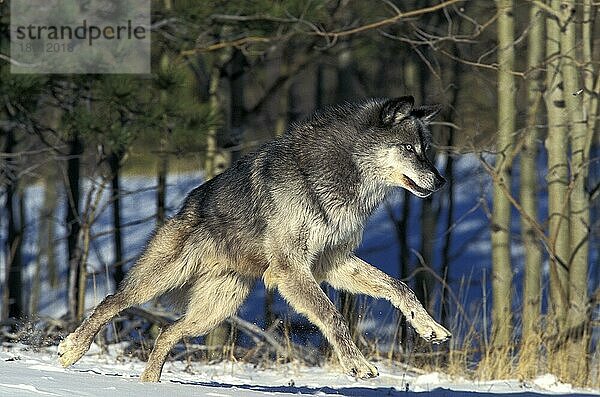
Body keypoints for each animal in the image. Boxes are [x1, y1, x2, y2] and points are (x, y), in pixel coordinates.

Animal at [57, 95, 450, 380]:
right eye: (410, 149)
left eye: (427, 150)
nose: (442, 181)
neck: (340, 176)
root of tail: (183, 209)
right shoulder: (292, 269)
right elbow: (332, 315)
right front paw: (357, 365)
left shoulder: (329, 262)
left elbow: (400, 287)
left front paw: (429, 328)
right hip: (158, 282)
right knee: (111, 301)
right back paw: (72, 350)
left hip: (215, 310)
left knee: (167, 332)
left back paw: (149, 384)